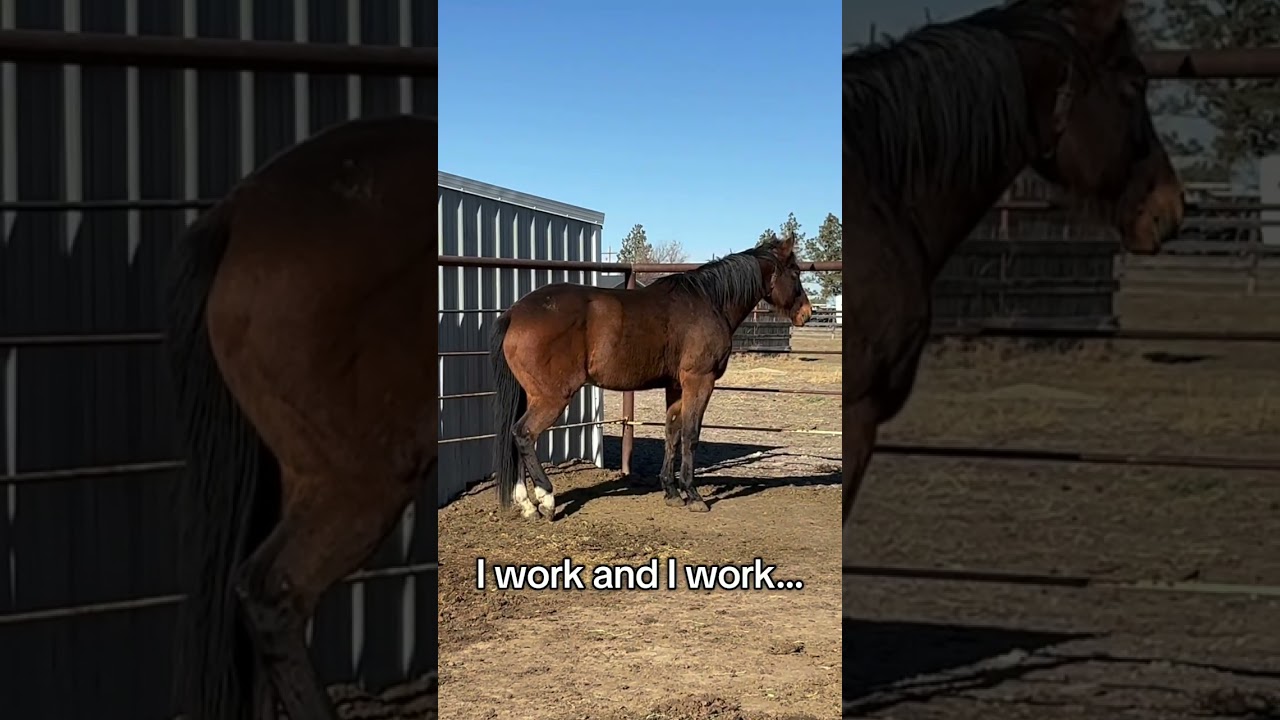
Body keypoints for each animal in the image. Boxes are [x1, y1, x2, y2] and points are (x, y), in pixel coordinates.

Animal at [489, 233, 813, 521]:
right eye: (795, 272)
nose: (807, 313)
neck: (709, 302)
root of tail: (515, 313)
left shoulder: (676, 386)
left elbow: (672, 433)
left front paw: (671, 491)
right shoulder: (699, 381)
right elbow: (691, 434)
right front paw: (693, 495)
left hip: (531, 395)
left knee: (515, 438)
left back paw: (526, 504)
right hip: (552, 397)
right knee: (524, 434)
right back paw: (546, 499)